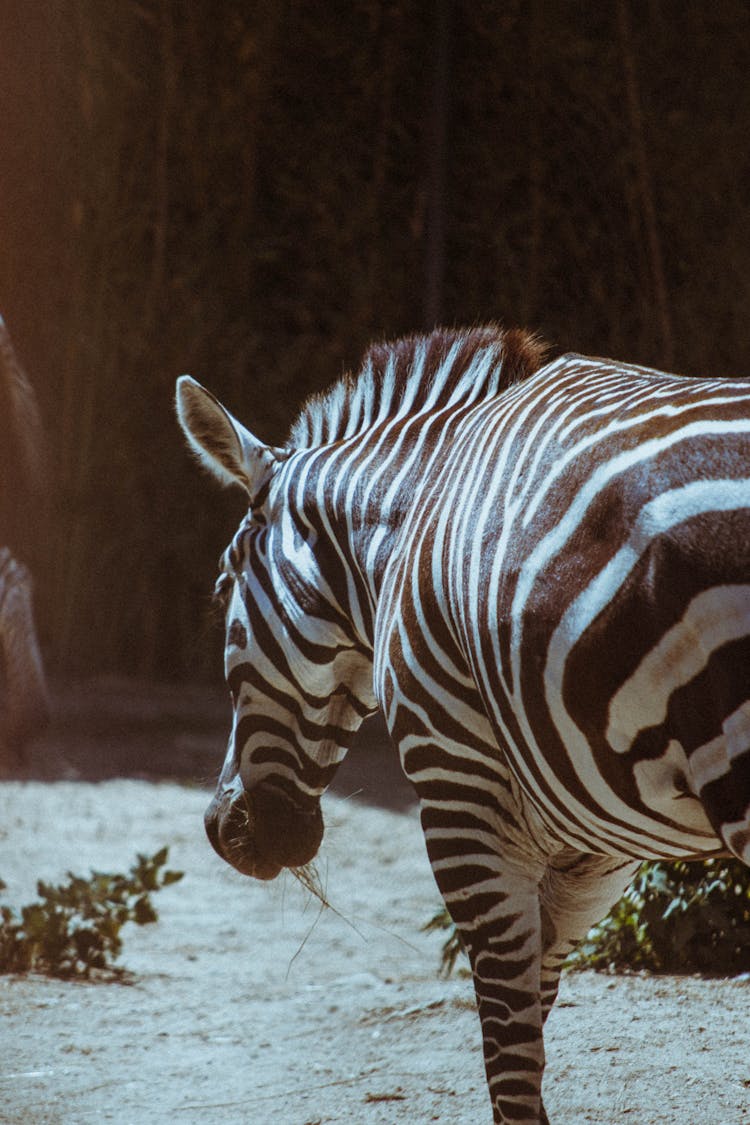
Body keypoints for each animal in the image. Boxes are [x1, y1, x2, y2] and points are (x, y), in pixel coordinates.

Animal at [174, 321, 750, 1120]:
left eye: (223, 583)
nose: (223, 829)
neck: (419, 509)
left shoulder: (462, 792)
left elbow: (509, 1057)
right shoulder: (594, 845)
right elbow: (531, 1022)